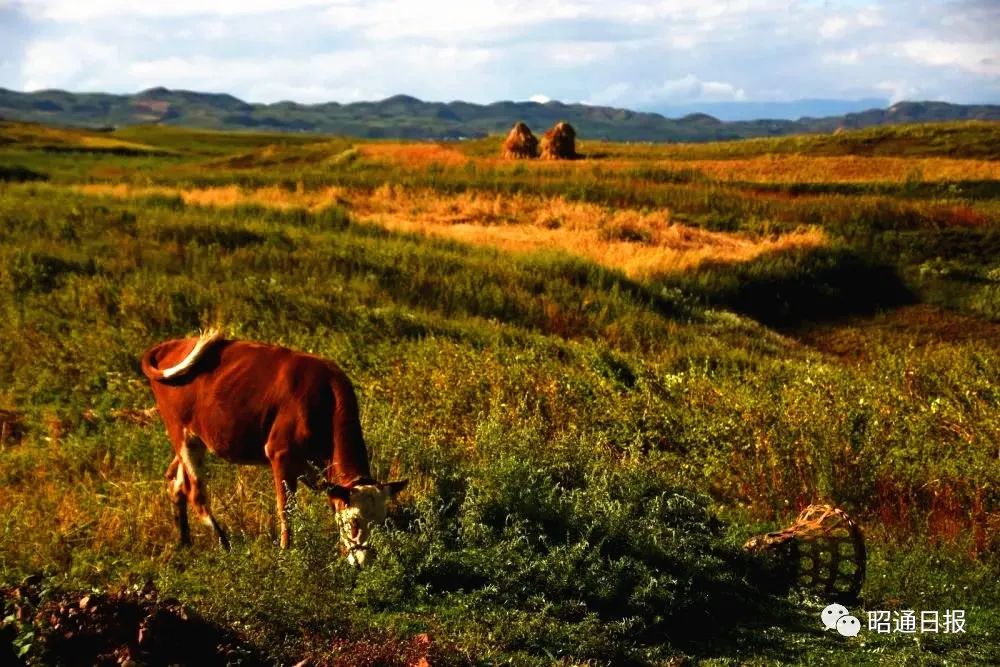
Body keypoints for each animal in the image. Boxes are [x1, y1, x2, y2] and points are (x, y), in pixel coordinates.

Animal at [140, 332, 406, 568]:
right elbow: (286, 511)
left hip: (194, 439)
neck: (323, 401)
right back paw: (224, 544)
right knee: (195, 491)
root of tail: (170, 345)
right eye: (354, 523)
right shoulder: (281, 455)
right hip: (181, 433)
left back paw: (184, 541)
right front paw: (287, 554)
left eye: (382, 522)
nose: (367, 562)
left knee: (174, 480)